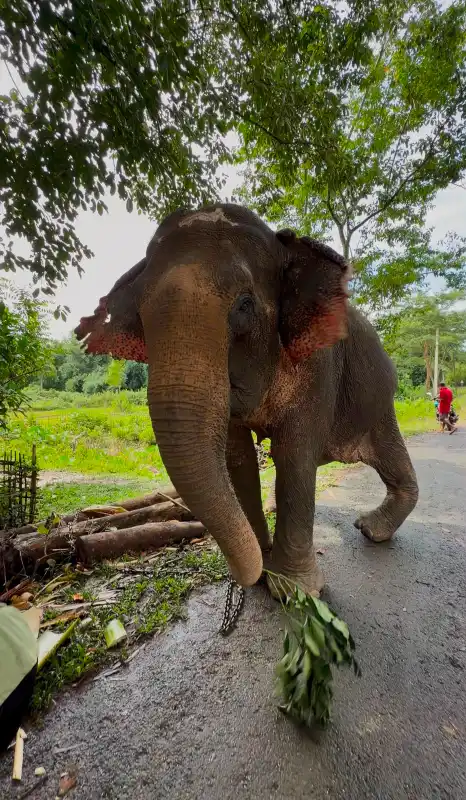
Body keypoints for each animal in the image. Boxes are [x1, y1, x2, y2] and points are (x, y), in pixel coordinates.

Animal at [75, 203, 418, 595]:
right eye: (139, 318)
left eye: (244, 305)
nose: (252, 571)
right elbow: (236, 458)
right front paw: (263, 566)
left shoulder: (319, 365)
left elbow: (294, 455)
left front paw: (292, 589)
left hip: (379, 400)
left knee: (390, 455)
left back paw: (370, 529)